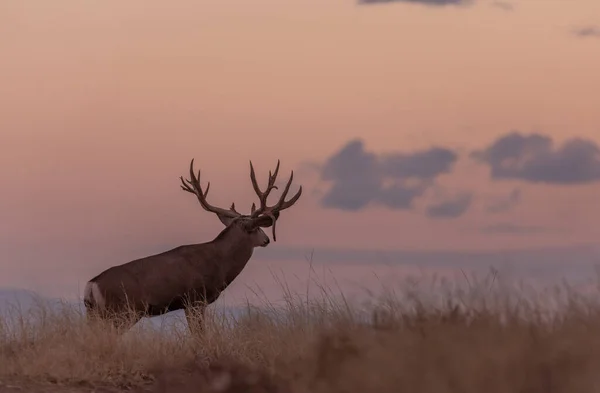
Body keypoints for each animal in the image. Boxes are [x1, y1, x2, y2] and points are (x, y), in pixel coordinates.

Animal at [82, 158, 302, 334]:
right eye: (256, 228)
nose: (267, 240)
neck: (218, 263)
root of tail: (91, 285)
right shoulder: (195, 299)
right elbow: (199, 335)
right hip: (123, 311)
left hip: (97, 314)